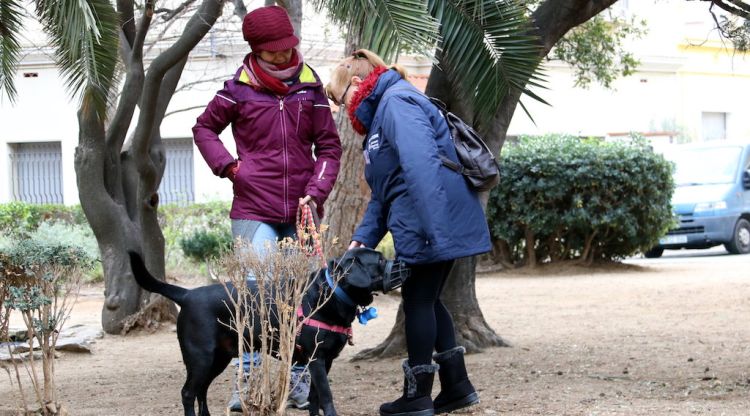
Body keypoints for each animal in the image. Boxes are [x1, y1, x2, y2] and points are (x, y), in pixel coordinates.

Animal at [127, 249, 408, 414]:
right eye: (380, 260)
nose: (406, 262)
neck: (331, 293)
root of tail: (186, 294)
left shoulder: (323, 362)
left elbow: (315, 398)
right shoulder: (316, 360)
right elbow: (327, 397)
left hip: (217, 359)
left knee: (201, 391)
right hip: (201, 358)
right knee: (188, 393)